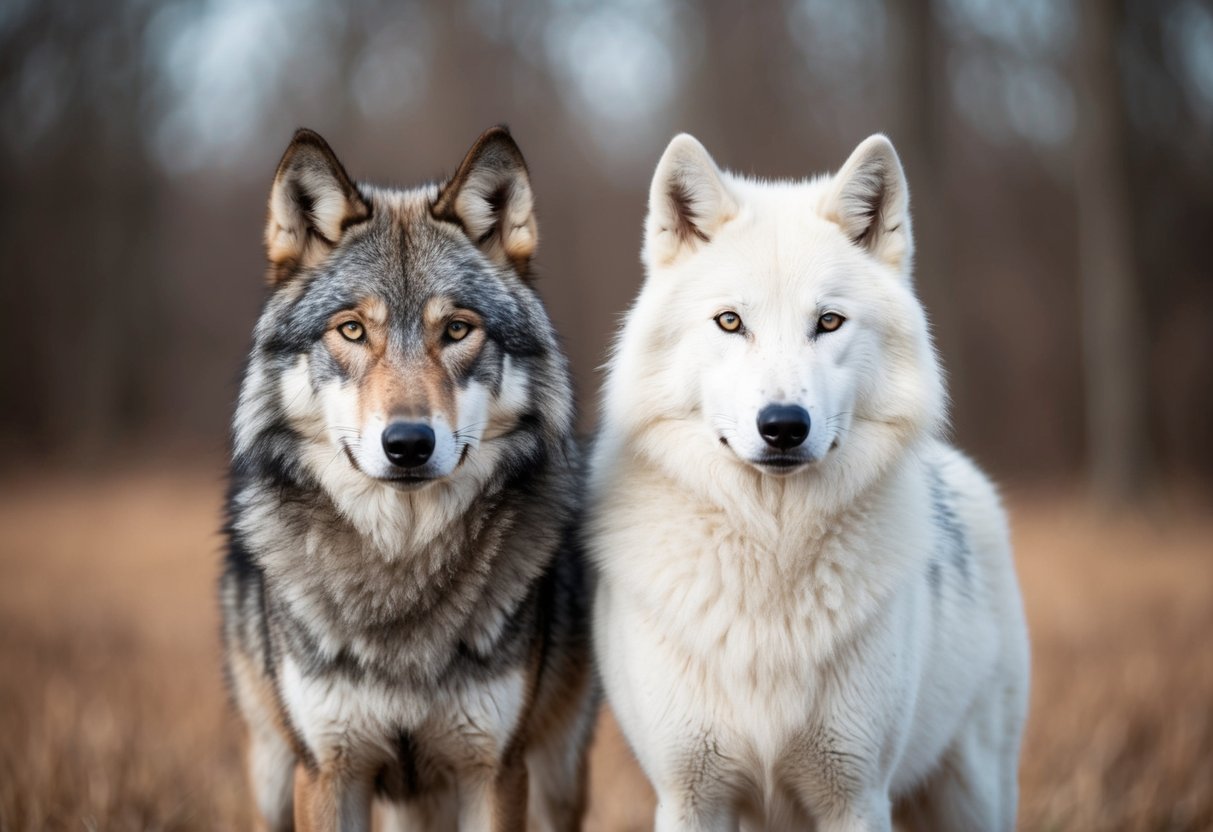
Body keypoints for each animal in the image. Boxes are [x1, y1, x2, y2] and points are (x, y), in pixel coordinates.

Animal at [219, 126, 596, 832]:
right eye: (351, 329)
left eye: (456, 329)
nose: (408, 444)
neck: (402, 564)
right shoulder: (328, 771)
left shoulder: (493, 772)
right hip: (274, 772)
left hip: (556, 774)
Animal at [588, 134, 1030, 831]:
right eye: (730, 322)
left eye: (828, 322)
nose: (783, 425)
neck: (773, 552)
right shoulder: (691, 797)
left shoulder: (855, 796)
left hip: (974, 795)